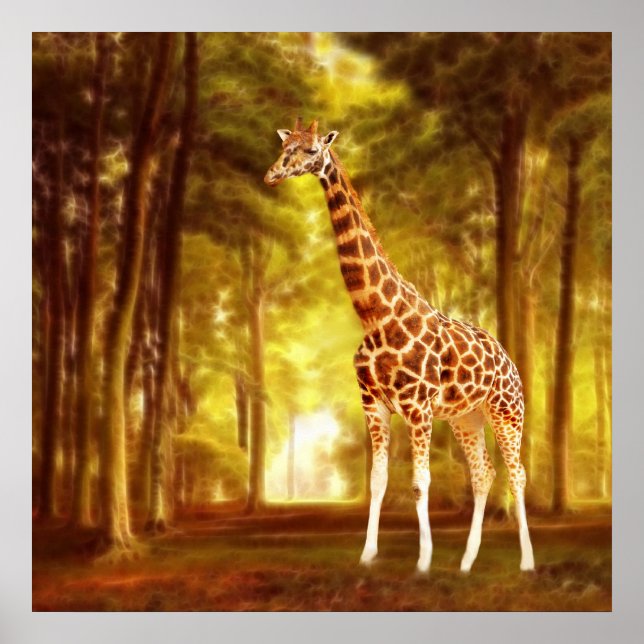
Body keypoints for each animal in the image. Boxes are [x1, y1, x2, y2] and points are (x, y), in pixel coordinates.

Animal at [264, 118, 535, 574]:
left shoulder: (417, 406)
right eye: (285, 146)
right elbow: (379, 481)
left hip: (506, 411)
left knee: (517, 475)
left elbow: (420, 481)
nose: (272, 174)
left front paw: (423, 560)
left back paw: (527, 562)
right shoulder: (373, 403)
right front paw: (368, 554)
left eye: (312, 149)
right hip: (466, 417)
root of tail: (510, 361)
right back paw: (466, 562)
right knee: (484, 474)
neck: (375, 316)